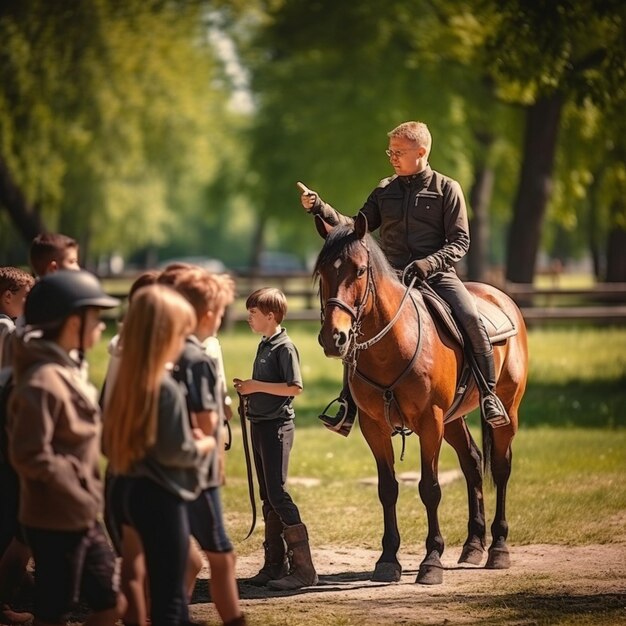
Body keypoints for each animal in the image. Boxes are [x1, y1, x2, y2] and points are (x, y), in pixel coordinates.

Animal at [312, 213, 528, 584]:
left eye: (359, 270)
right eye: (323, 271)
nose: (334, 338)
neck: (393, 345)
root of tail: (503, 298)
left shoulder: (430, 423)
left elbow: (430, 488)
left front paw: (432, 560)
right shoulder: (374, 426)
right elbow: (387, 488)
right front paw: (388, 559)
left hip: (505, 413)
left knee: (500, 468)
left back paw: (498, 548)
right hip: (454, 420)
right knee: (473, 463)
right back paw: (473, 545)